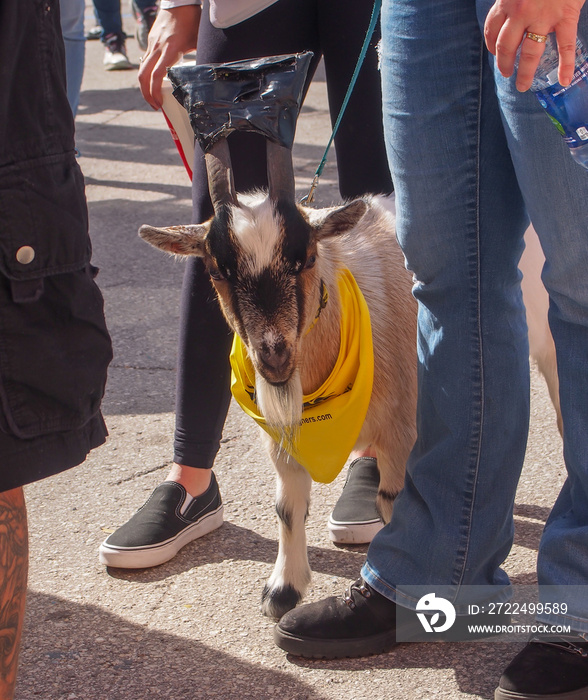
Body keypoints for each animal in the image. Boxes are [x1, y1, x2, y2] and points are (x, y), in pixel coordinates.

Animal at [140, 138, 418, 616]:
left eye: (306, 258)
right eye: (216, 270)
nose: (274, 356)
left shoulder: (402, 431)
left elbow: (397, 507)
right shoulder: (284, 441)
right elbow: (288, 509)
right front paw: (283, 590)